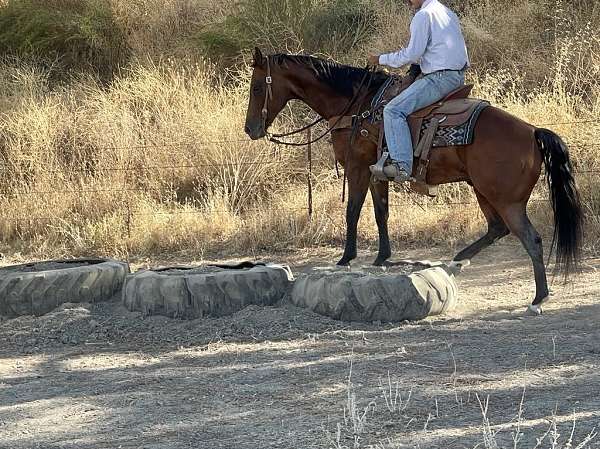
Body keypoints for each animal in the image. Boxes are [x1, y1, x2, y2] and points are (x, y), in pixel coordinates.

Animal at [243, 48, 580, 312]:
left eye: (257, 87)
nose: (250, 129)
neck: (357, 106)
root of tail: (533, 132)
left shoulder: (358, 167)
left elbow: (352, 211)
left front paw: (346, 258)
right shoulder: (377, 172)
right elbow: (381, 213)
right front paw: (382, 257)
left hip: (505, 198)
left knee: (530, 238)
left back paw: (538, 298)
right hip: (483, 190)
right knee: (497, 228)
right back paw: (457, 262)